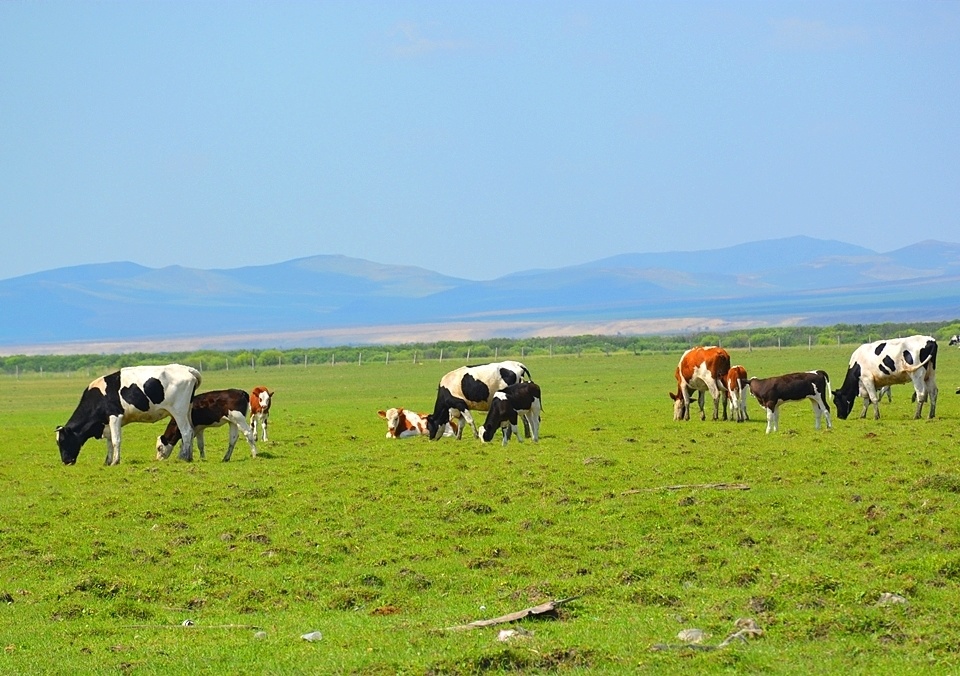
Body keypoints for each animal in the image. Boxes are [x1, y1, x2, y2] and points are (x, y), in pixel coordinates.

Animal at [56, 364, 202, 464]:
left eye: (63, 441)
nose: (65, 461)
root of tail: (187, 369)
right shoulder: (107, 423)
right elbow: (109, 442)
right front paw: (108, 461)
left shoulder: (115, 417)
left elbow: (116, 440)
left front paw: (115, 462)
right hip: (188, 410)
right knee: (191, 431)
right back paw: (189, 456)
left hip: (179, 411)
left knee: (186, 432)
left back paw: (184, 457)